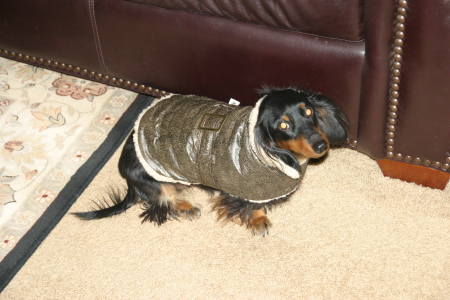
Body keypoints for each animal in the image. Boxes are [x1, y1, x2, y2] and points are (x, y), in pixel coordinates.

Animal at [74, 88, 350, 236]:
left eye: (308, 111)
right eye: (283, 125)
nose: (321, 145)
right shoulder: (244, 189)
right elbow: (251, 206)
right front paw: (258, 220)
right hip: (152, 176)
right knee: (162, 198)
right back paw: (186, 207)